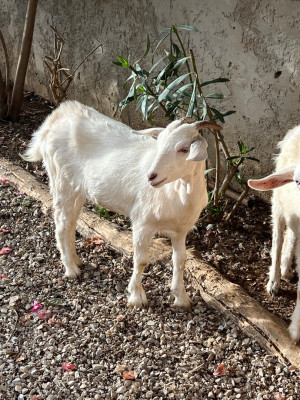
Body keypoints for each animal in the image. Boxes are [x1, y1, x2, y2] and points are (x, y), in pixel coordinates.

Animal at [21, 100, 223, 310]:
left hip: (77, 189)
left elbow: (180, 261)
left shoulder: (180, 230)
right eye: (159, 143)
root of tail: (56, 117)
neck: (177, 191)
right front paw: (136, 297)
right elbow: (141, 261)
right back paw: (71, 269)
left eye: (184, 149)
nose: (151, 176)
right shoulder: (143, 222)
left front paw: (181, 298)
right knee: (61, 225)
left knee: (70, 223)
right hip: (62, 180)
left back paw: (76, 261)